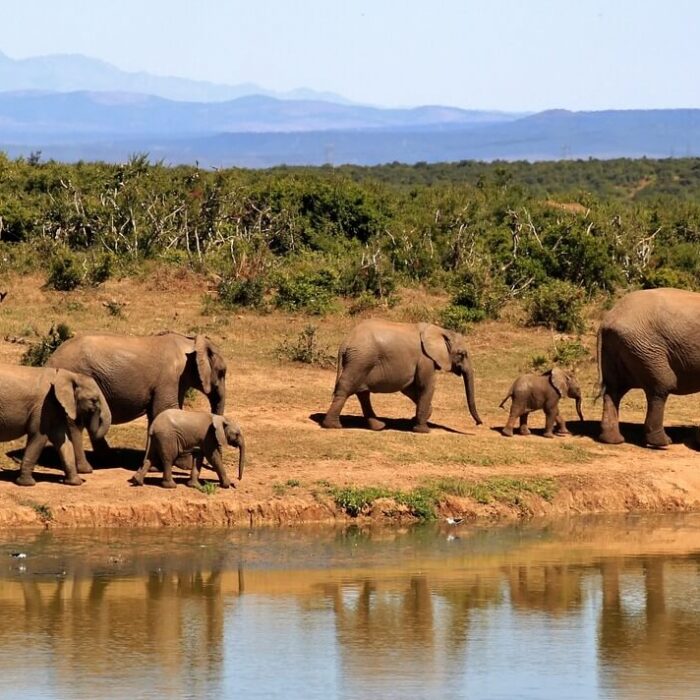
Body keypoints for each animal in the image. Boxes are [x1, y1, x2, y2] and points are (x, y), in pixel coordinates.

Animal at [46, 332, 227, 471]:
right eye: (222, 372)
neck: (190, 342)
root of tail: (50, 360)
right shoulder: (169, 379)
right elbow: (165, 410)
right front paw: (184, 466)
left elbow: (157, 415)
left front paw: (155, 466)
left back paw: (109, 459)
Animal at [322, 320, 482, 432]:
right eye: (462, 354)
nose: (479, 423)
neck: (440, 330)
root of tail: (345, 343)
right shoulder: (425, 359)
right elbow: (426, 386)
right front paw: (423, 430)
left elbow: (410, 388)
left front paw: (416, 419)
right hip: (361, 359)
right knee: (346, 388)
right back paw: (333, 426)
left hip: (361, 361)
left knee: (362, 393)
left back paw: (379, 427)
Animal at [597, 287, 700, 447]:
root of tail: (608, 319)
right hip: (646, 348)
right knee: (662, 386)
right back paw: (662, 443)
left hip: (618, 348)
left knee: (614, 388)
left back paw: (613, 440)